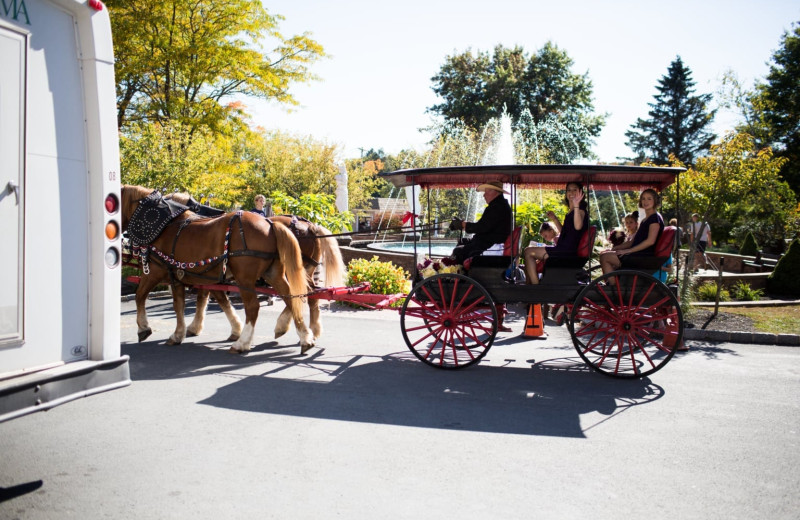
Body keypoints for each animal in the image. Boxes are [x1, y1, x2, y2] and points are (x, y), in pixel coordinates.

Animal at [134, 191, 346, 346]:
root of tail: (310, 226)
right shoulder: (202, 275)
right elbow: (206, 299)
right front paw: (196, 328)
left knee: (301, 294)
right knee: (305, 294)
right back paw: (306, 331)